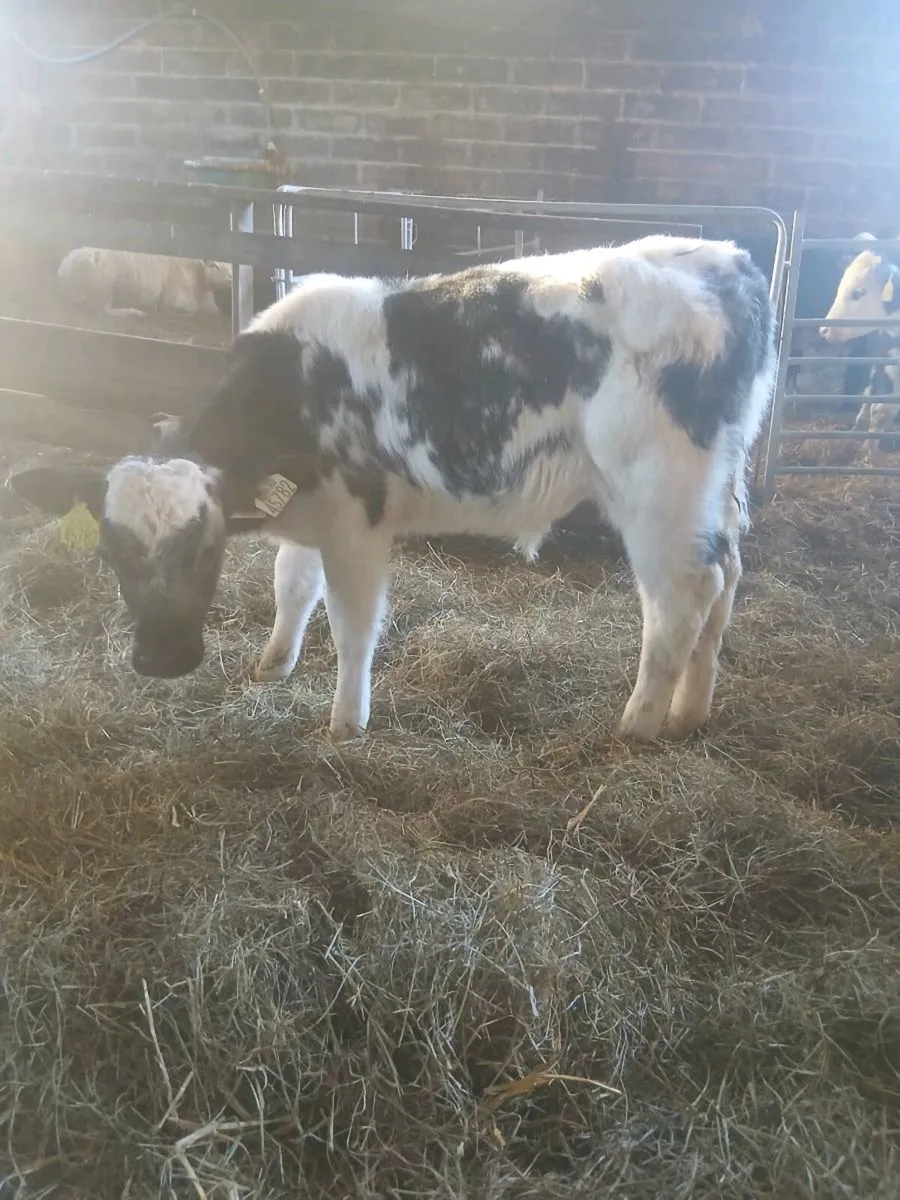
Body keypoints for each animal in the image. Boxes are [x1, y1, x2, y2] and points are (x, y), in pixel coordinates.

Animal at [56, 247, 233, 319]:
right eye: (214, 266)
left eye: (231, 265)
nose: (231, 277)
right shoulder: (177, 296)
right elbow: (190, 308)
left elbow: (215, 311)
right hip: (103, 285)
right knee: (104, 311)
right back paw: (136, 313)